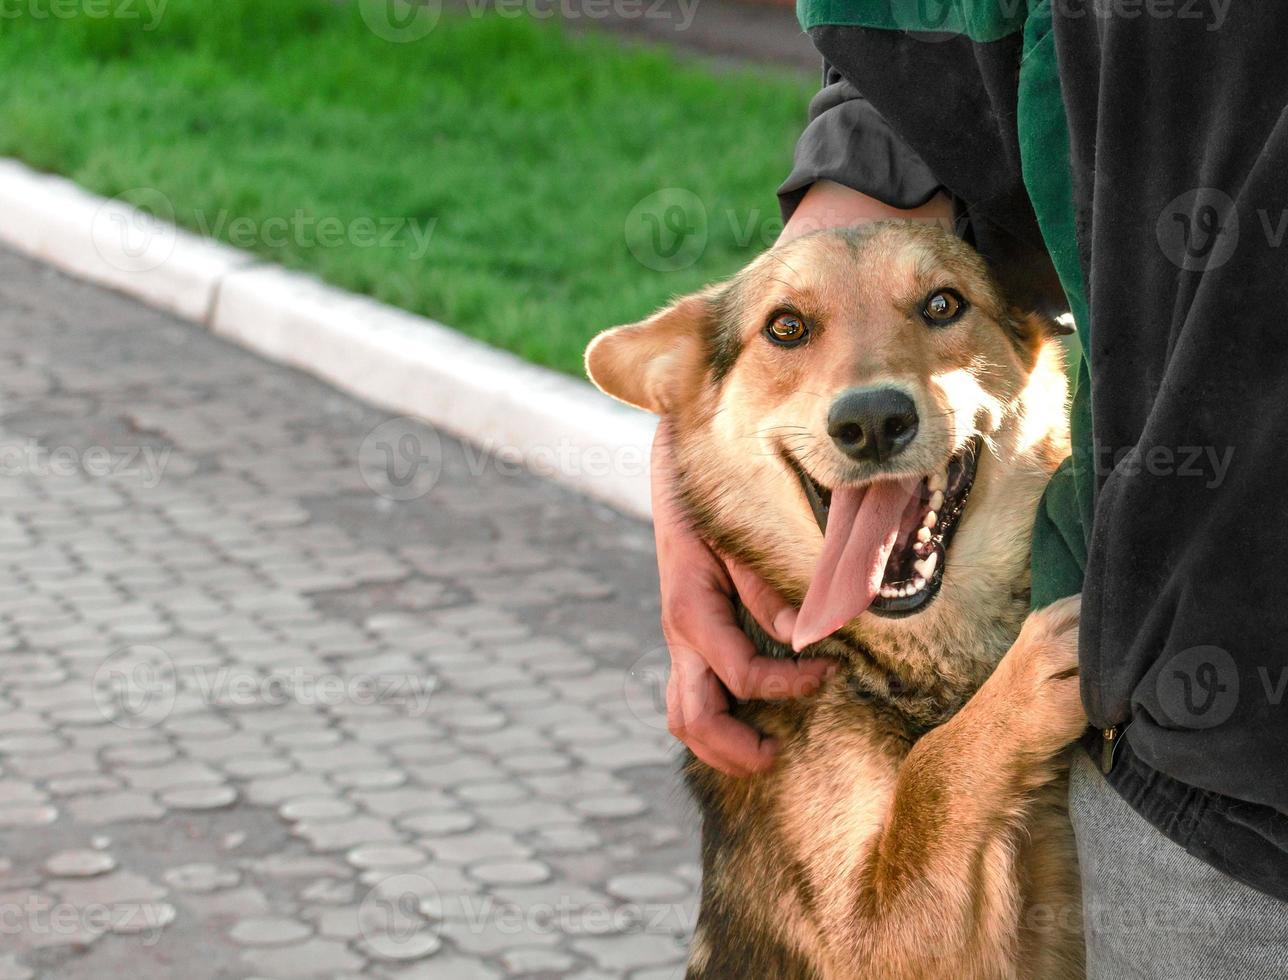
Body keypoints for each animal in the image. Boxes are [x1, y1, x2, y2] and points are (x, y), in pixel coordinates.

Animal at [589, 221, 1081, 978]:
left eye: (943, 304)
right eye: (786, 327)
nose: (873, 420)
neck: (916, 666)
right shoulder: (873, 939)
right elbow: (933, 774)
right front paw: (1026, 685)